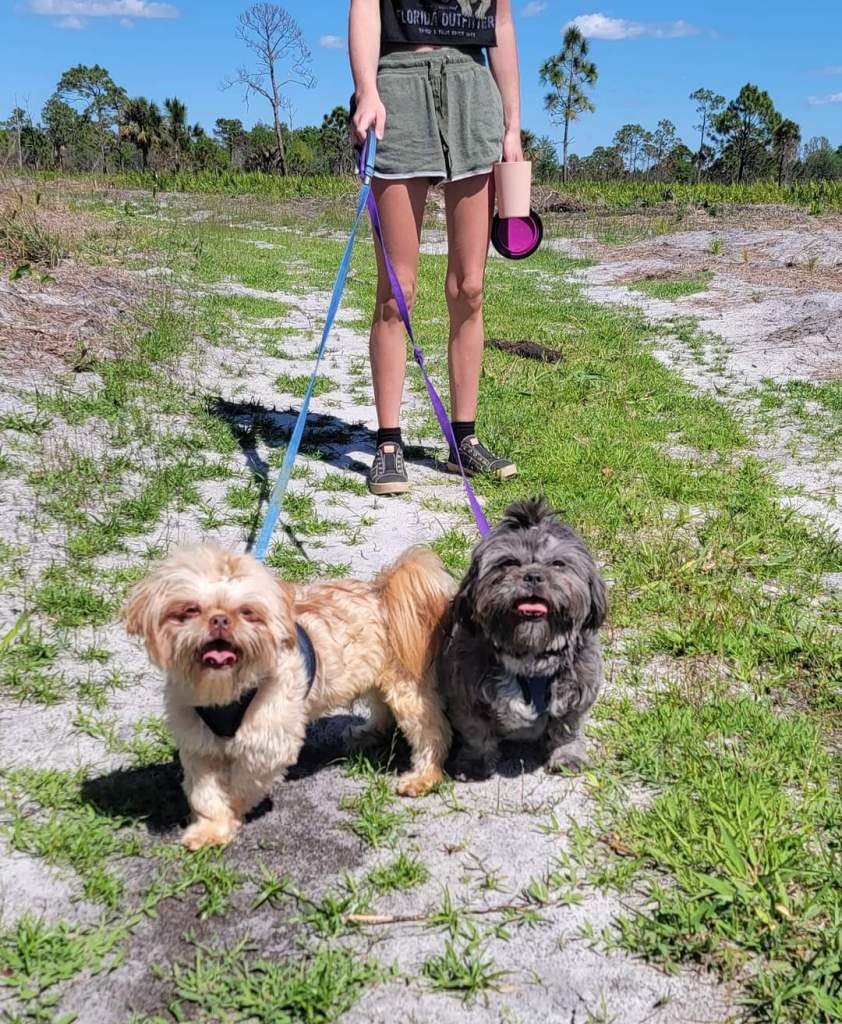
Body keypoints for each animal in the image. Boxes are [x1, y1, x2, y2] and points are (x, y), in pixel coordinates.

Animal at [124, 544, 454, 849]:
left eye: (247, 612)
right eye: (190, 609)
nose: (219, 620)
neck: (226, 690)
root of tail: (380, 592)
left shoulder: (266, 744)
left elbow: (240, 785)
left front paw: (231, 813)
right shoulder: (198, 746)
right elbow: (205, 793)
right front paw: (211, 829)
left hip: (406, 688)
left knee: (431, 731)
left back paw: (423, 775)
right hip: (373, 675)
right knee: (381, 706)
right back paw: (370, 732)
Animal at [440, 498, 606, 779]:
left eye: (558, 564)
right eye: (508, 563)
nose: (533, 575)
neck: (529, 656)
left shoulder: (578, 688)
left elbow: (567, 729)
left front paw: (568, 756)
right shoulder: (466, 693)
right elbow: (476, 732)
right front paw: (474, 762)